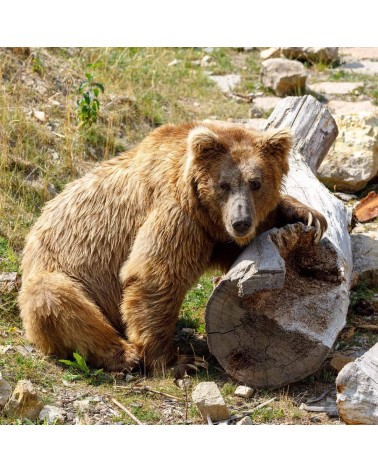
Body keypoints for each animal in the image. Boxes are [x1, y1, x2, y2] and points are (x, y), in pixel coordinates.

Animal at [17, 121, 326, 376]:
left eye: (256, 182)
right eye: (224, 184)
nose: (240, 221)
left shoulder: (211, 233)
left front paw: (306, 214)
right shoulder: (177, 213)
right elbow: (155, 275)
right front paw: (179, 362)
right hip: (59, 274)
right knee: (57, 301)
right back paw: (125, 354)